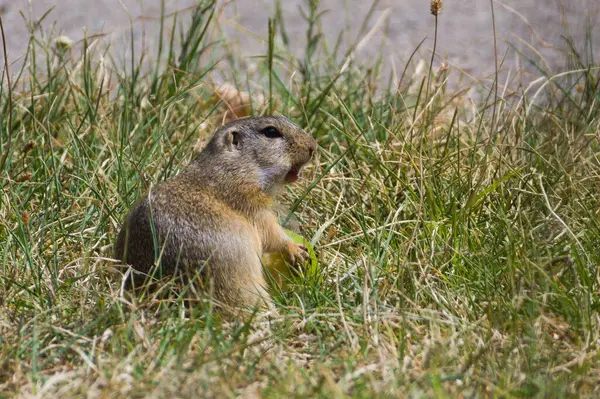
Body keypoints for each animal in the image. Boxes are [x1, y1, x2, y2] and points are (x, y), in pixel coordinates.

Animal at [114, 116, 316, 312]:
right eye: (271, 131)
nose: (313, 146)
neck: (235, 168)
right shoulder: (248, 201)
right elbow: (270, 231)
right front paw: (295, 249)